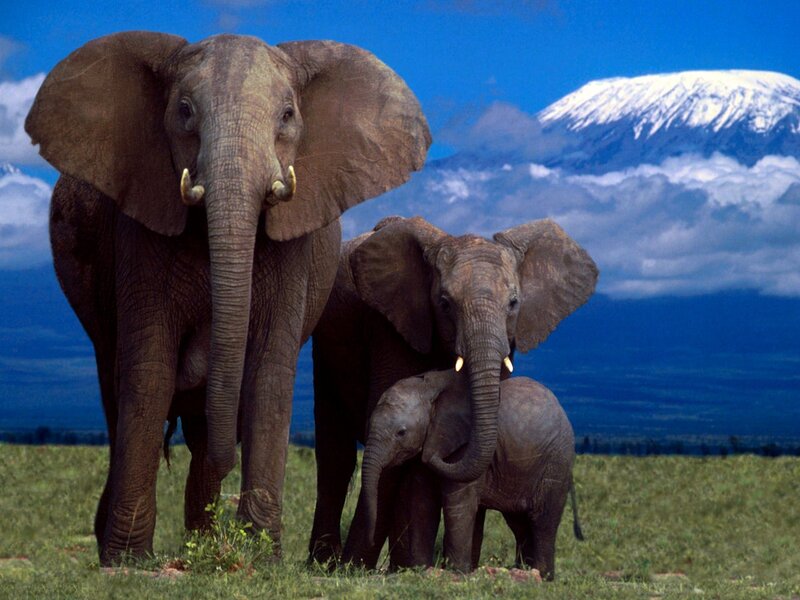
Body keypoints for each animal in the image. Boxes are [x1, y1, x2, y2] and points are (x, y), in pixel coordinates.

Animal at [24, 31, 430, 564]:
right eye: (184, 110)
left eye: (287, 115)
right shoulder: (140, 224)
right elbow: (149, 368)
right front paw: (127, 560)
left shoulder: (294, 245)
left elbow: (268, 374)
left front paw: (258, 557)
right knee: (116, 388)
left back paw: (202, 538)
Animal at [357, 370, 582, 578]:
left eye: (401, 433)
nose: (370, 539)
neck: (429, 389)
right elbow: (422, 503)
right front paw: (421, 570)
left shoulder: (462, 446)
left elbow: (458, 504)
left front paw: (456, 574)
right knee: (519, 524)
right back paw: (523, 570)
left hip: (556, 463)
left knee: (542, 521)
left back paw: (542, 576)